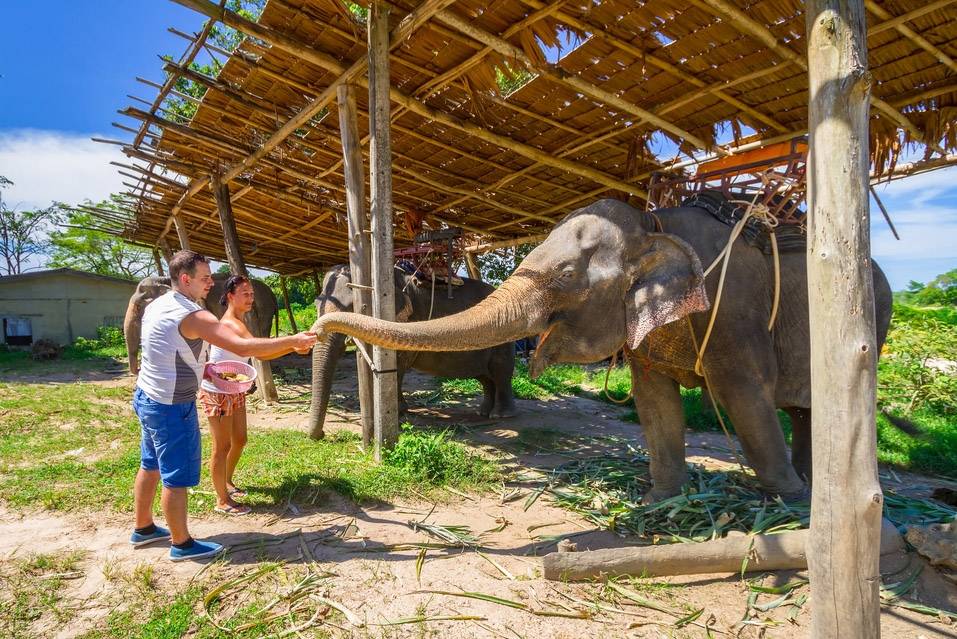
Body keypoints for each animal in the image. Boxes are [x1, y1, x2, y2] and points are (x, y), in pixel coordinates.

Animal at [306, 264, 516, 440]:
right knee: (485, 378)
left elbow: (398, 364)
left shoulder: (404, 320)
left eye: (352, 308)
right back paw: (483, 412)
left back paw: (500, 415)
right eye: (316, 305)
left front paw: (398, 411)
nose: (321, 435)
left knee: (500, 373)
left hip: (503, 340)